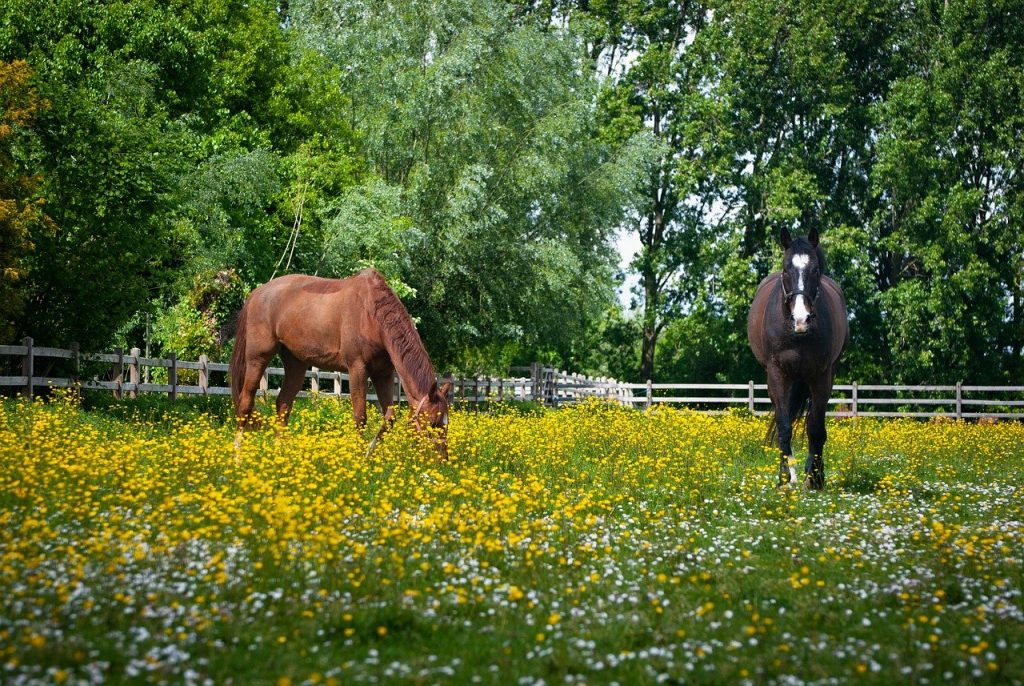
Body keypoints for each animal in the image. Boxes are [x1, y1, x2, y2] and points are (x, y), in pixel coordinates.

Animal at [235, 272, 452, 458]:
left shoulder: (383, 373)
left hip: (296, 364)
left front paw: (369, 454)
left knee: (283, 405)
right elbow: (360, 417)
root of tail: (256, 293)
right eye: (433, 423)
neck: (372, 315)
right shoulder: (357, 369)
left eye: (446, 424)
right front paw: (358, 457)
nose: (442, 461)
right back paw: (237, 457)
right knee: (245, 402)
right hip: (257, 359)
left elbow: (389, 417)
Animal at [745, 228, 847, 491]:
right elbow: (784, 426)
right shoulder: (777, 374)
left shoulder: (822, 376)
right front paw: (785, 478)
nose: (801, 319)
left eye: (815, 270)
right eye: (785, 269)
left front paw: (815, 478)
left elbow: (816, 428)